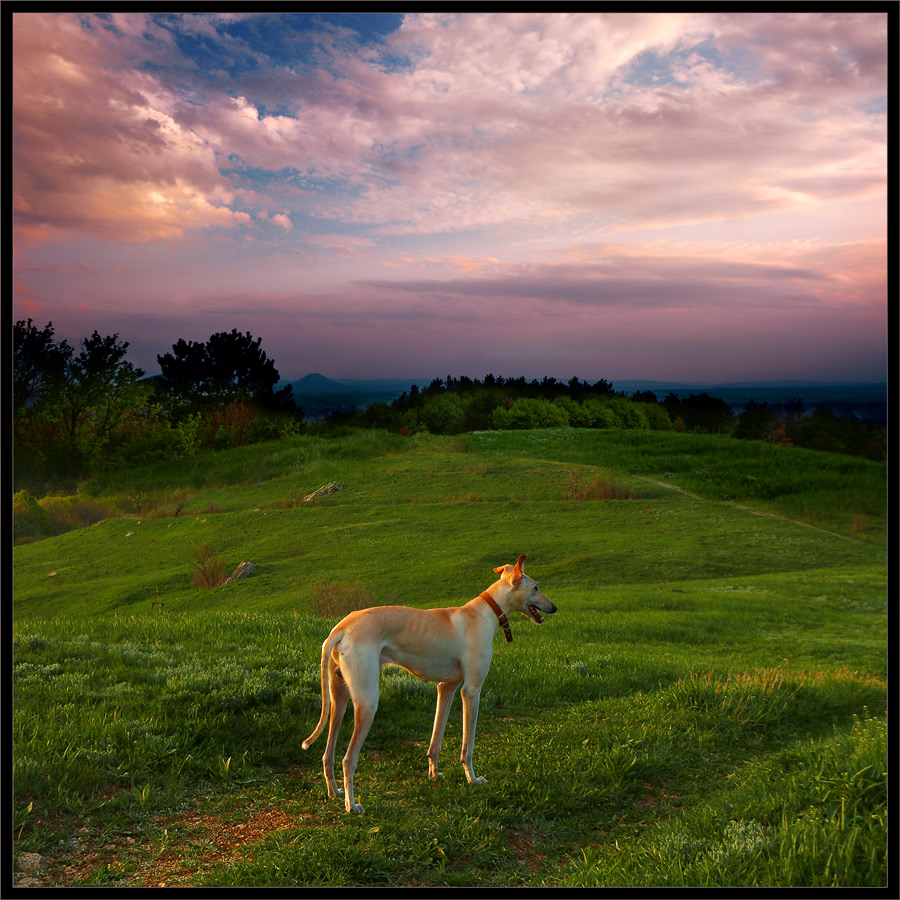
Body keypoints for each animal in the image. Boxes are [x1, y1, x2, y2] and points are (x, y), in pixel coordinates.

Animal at [302, 552, 556, 812]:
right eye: (536, 587)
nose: (554, 608)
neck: (485, 612)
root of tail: (342, 626)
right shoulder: (471, 691)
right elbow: (468, 746)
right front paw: (473, 779)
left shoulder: (447, 687)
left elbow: (436, 738)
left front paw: (434, 773)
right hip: (367, 702)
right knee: (348, 759)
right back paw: (352, 805)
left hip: (339, 700)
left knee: (328, 754)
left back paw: (334, 792)